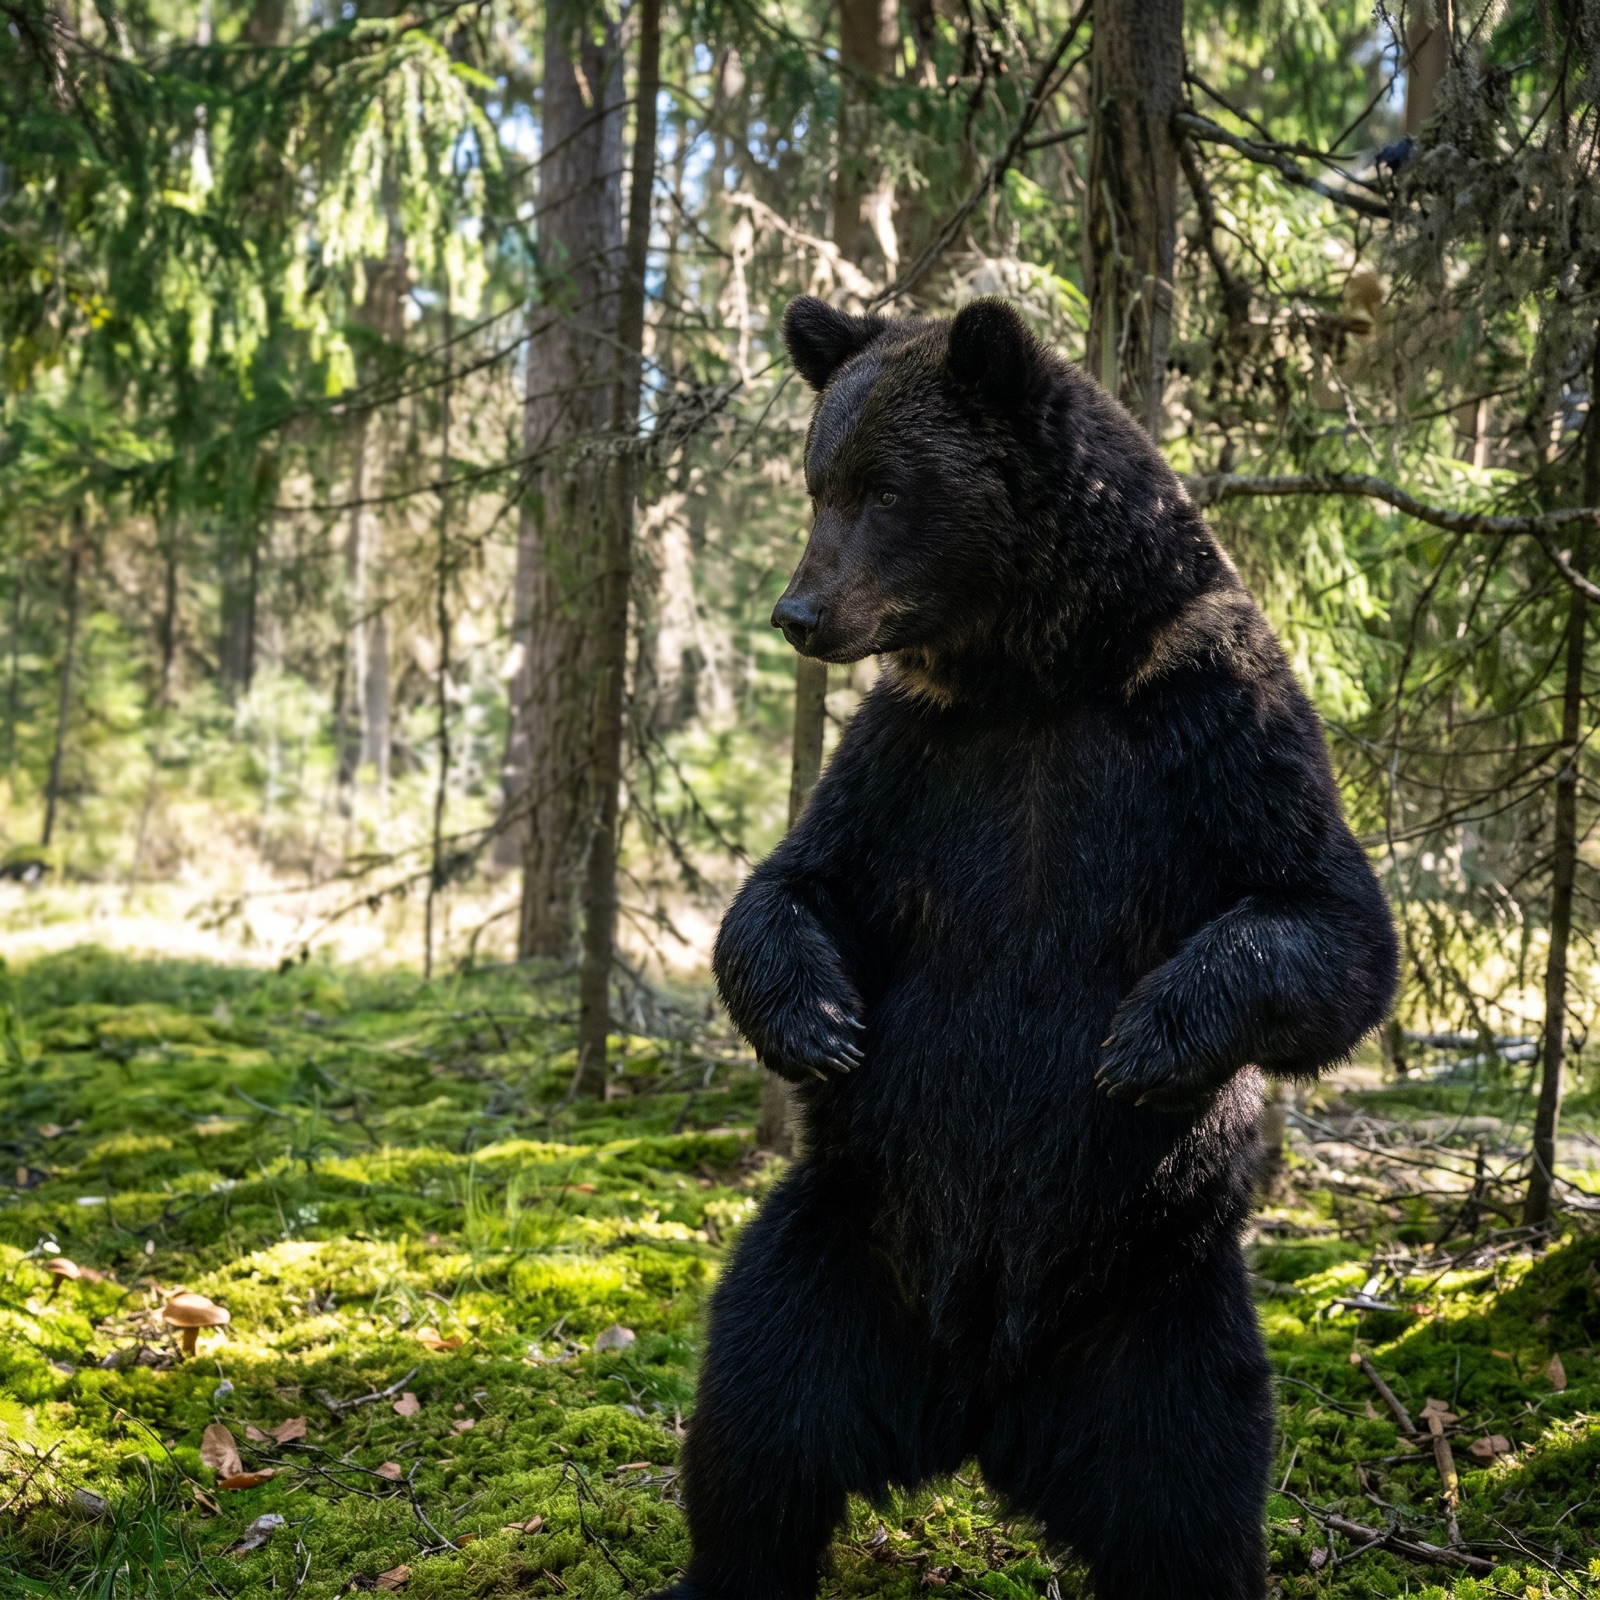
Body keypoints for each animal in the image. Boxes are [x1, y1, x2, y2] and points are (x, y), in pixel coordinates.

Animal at [664, 296, 1398, 1600]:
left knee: (1192, 1493)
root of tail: (976, 1397)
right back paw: (721, 1564)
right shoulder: (916, 758)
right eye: (817, 480)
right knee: (753, 1424)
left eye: (885, 488)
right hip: (831, 1249)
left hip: (1161, 1310)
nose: (798, 613)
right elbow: (797, 881)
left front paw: (1147, 1040)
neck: (1039, 669)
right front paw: (819, 1020)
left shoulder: (1209, 720)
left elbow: (1326, 919)